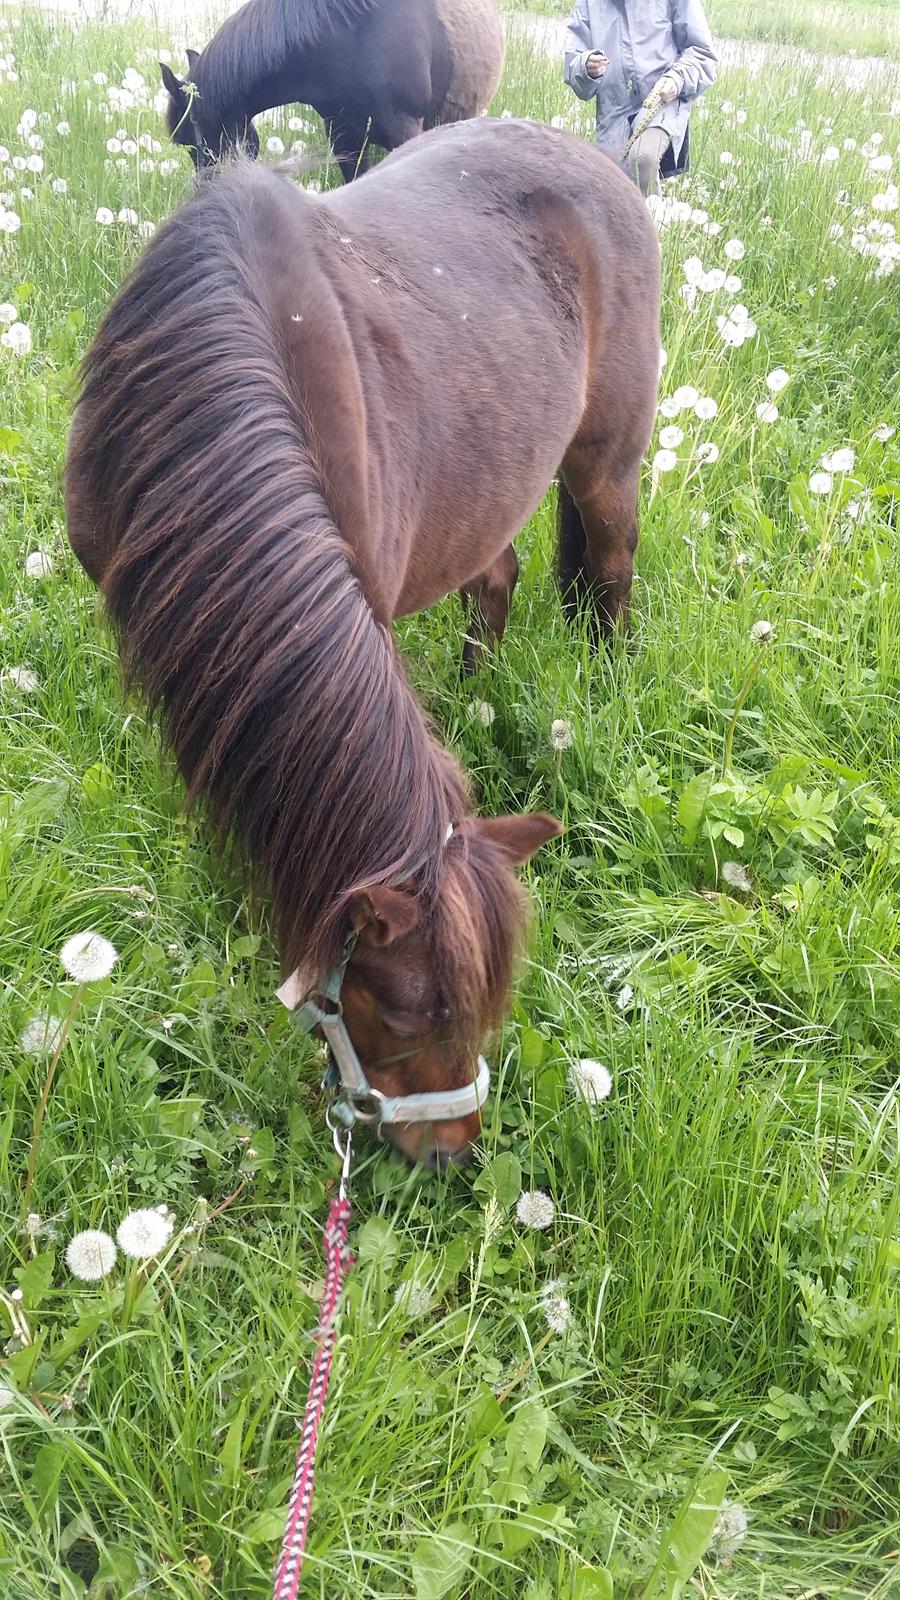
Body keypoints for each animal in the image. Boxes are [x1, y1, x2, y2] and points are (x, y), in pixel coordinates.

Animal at [64, 116, 659, 1164]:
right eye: (410, 1014)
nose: (454, 1151)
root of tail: (602, 163)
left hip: (606, 465)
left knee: (613, 577)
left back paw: (606, 690)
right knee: (497, 582)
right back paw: (475, 694)